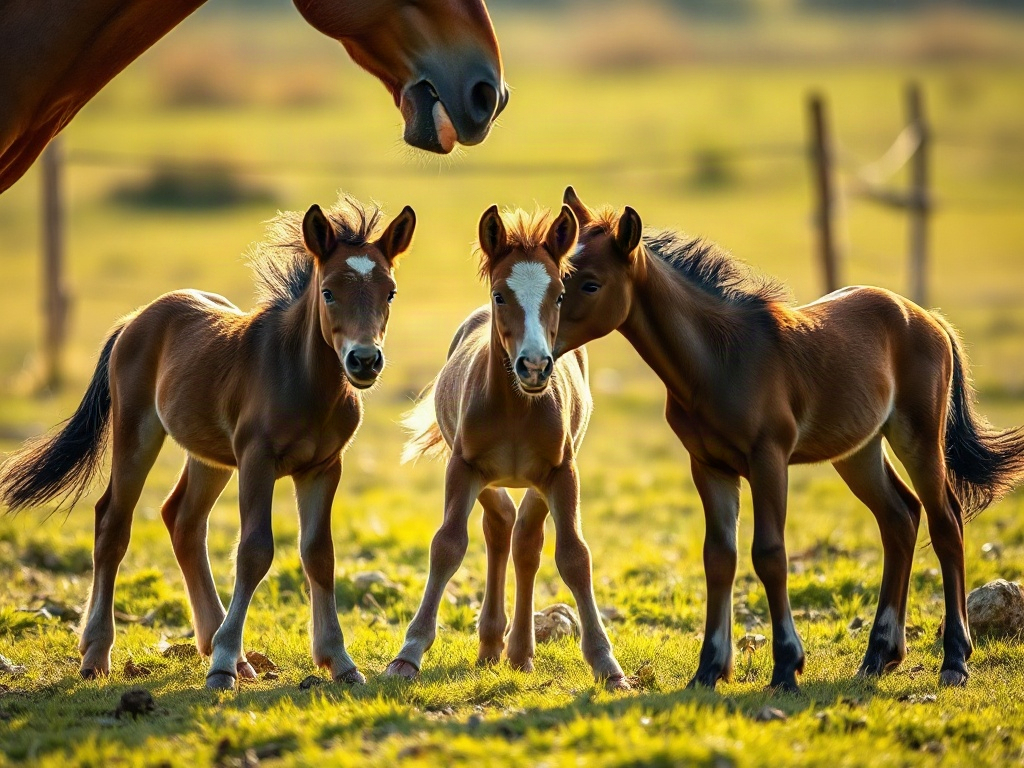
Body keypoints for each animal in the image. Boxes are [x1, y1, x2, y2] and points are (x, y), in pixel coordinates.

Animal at [0, 194, 416, 689]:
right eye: (329, 291)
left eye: (390, 292)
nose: (364, 360)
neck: (302, 379)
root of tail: (134, 319)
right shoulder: (257, 460)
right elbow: (254, 551)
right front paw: (221, 666)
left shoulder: (323, 467)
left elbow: (319, 554)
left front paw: (339, 661)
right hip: (138, 432)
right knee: (113, 521)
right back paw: (97, 654)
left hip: (211, 457)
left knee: (182, 519)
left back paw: (226, 650)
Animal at [383, 205, 629, 690]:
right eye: (500, 294)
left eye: (559, 295)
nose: (534, 366)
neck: (518, 407)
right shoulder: (463, 468)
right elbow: (447, 545)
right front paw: (408, 654)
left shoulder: (563, 472)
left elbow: (574, 556)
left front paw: (607, 664)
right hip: (488, 477)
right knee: (500, 527)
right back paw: (492, 644)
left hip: (538, 482)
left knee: (525, 541)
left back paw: (517, 651)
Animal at [553, 186, 1024, 692]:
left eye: (590, 284)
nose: (536, 348)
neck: (719, 359)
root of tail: (929, 318)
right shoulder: (709, 466)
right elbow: (719, 557)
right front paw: (709, 669)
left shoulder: (769, 459)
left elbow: (770, 554)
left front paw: (786, 666)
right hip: (858, 451)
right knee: (900, 518)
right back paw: (879, 655)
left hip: (917, 436)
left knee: (945, 523)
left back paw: (954, 659)